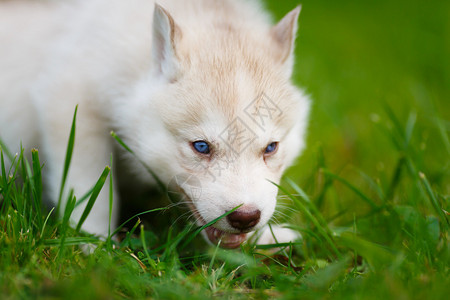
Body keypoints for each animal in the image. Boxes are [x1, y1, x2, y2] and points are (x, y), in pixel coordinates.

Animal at [0, 0, 310, 248]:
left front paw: (267, 239)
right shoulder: (69, 101)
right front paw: (96, 247)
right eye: (201, 147)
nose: (245, 218)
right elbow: (90, 187)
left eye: (271, 148)